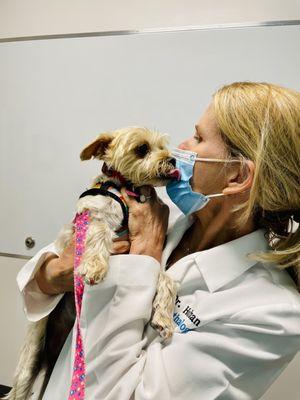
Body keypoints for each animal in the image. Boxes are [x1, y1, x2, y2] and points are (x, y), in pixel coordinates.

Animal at [5, 126, 180, 400]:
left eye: (163, 146)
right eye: (142, 149)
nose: (172, 160)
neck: (126, 187)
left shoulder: (146, 255)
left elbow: (165, 276)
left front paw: (163, 316)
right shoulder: (92, 213)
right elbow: (100, 229)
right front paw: (95, 266)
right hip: (30, 358)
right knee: (19, 387)